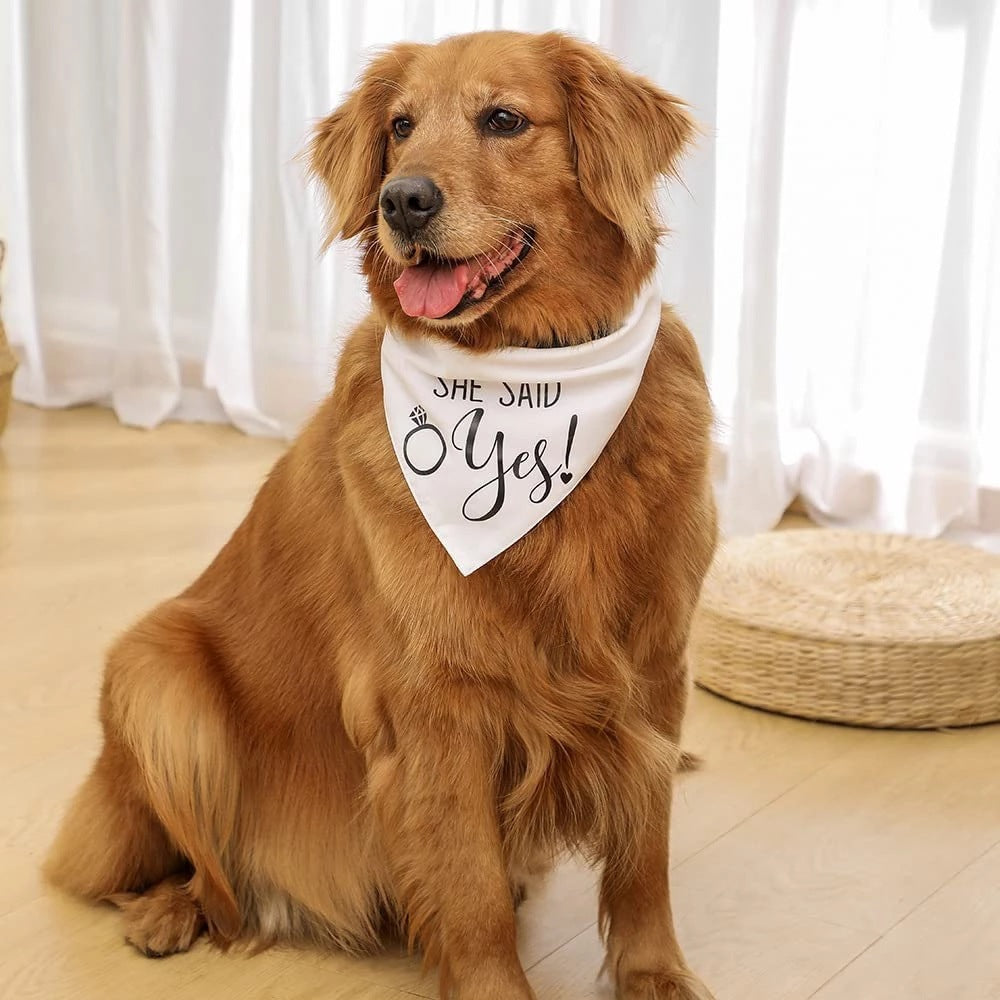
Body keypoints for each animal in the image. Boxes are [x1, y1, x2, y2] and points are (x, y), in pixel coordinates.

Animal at [47, 27, 716, 996]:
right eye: (400, 127)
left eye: (503, 119)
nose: (403, 200)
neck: (527, 381)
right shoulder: (436, 703)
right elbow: (471, 892)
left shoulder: (656, 669)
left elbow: (644, 854)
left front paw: (655, 974)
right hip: (156, 669)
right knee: (180, 868)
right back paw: (170, 911)